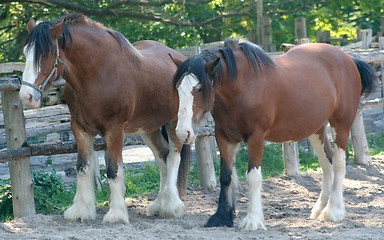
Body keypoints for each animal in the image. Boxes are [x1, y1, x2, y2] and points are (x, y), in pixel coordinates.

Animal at [19, 13, 190, 223]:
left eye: (45, 54)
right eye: (26, 53)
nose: (26, 96)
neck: (97, 74)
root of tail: (178, 58)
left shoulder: (114, 130)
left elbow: (113, 170)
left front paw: (116, 214)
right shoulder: (80, 129)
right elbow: (82, 168)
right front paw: (81, 210)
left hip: (174, 123)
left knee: (173, 157)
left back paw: (170, 206)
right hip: (148, 128)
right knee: (162, 156)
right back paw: (158, 205)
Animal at [172, 38, 376, 230]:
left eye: (199, 88)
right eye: (178, 89)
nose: (183, 132)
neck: (243, 86)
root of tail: (348, 59)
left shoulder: (256, 137)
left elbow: (253, 177)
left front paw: (253, 220)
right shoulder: (224, 137)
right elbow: (226, 176)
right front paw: (222, 217)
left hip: (341, 124)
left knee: (340, 163)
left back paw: (333, 211)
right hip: (315, 129)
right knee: (328, 164)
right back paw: (319, 209)